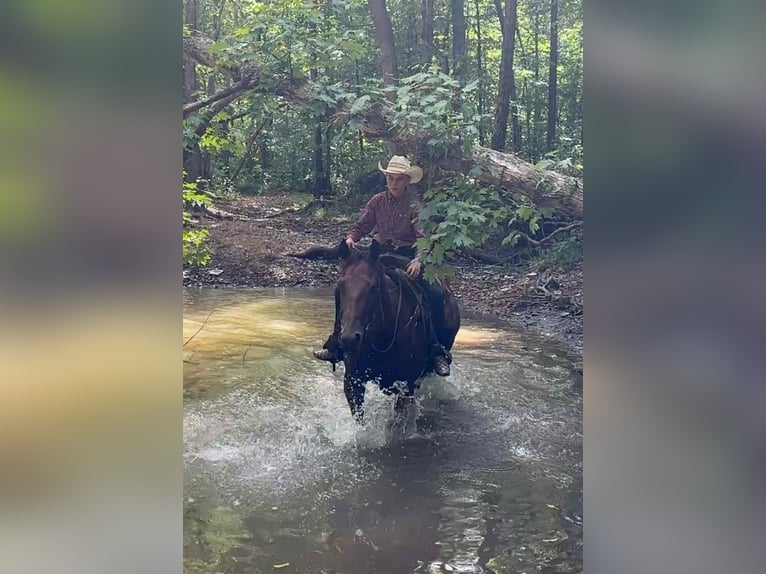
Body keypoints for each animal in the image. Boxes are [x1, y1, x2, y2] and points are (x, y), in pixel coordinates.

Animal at [332, 239, 460, 421]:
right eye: (340, 285)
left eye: (373, 286)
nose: (349, 338)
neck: (381, 339)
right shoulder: (353, 381)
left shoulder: (406, 385)